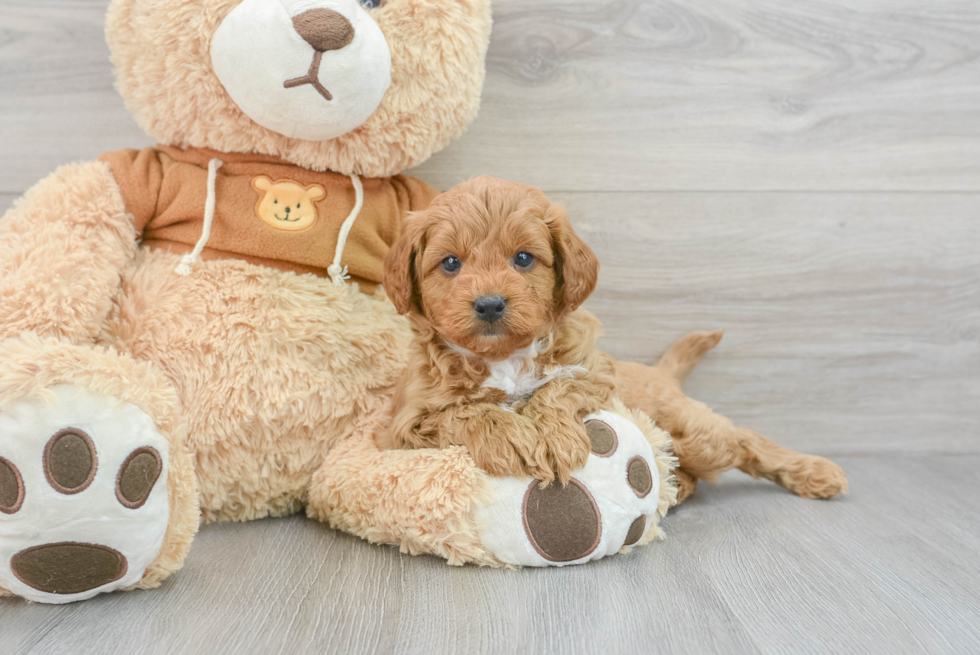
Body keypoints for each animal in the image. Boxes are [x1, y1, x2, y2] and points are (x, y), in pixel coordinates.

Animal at [380, 177, 616, 484]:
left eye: (524, 258)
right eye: (451, 262)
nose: (490, 304)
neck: (502, 357)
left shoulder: (595, 370)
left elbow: (560, 385)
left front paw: (557, 438)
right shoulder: (407, 423)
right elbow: (465, 412)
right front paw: (507, 436)